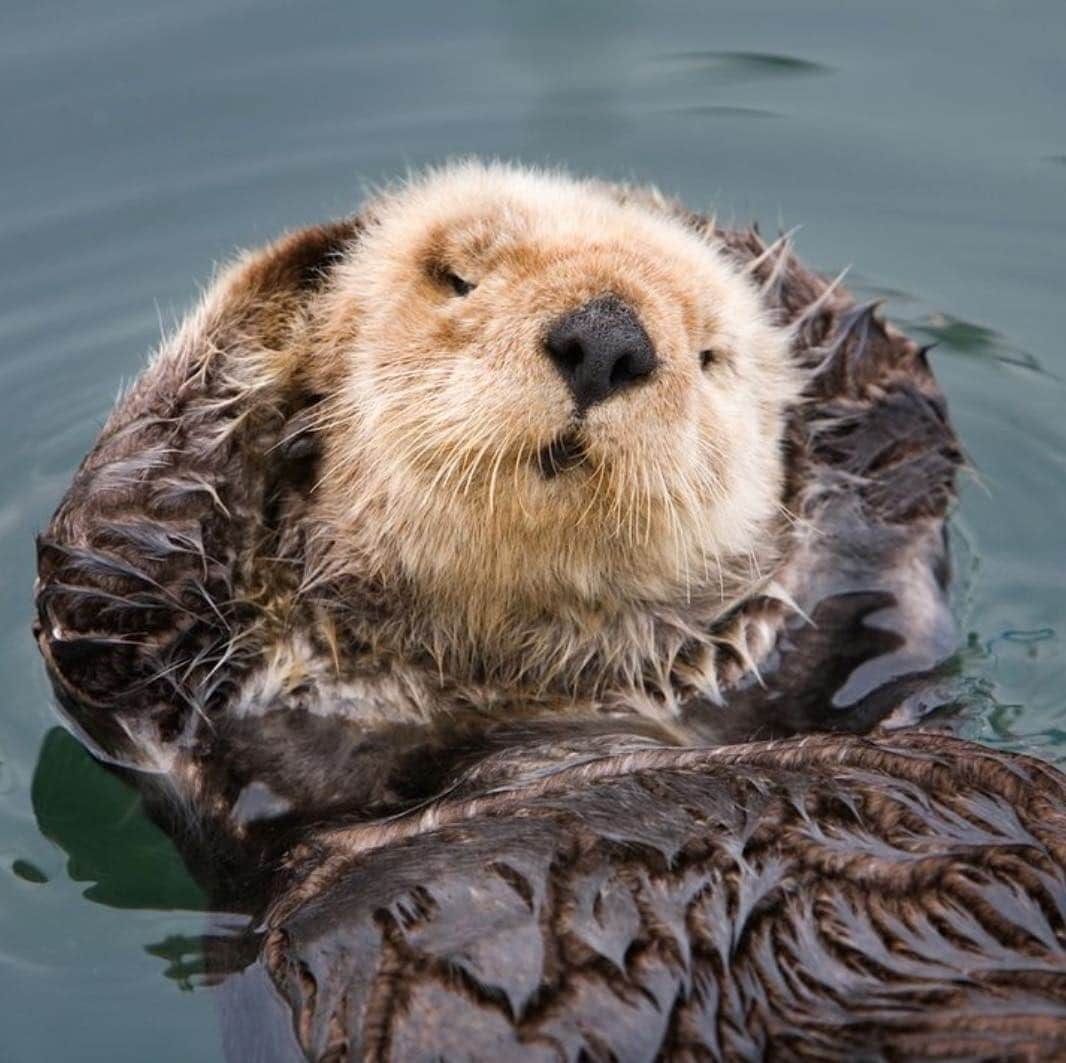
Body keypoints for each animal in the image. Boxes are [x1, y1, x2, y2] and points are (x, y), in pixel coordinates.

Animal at [33, 162, 1066, 1057]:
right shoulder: (198, 727)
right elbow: (109, 566)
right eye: (455, 279)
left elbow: (893, 453)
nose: (606, 336)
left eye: (712, 356)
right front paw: (313, 265)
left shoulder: (858, 639)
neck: (529, 704)